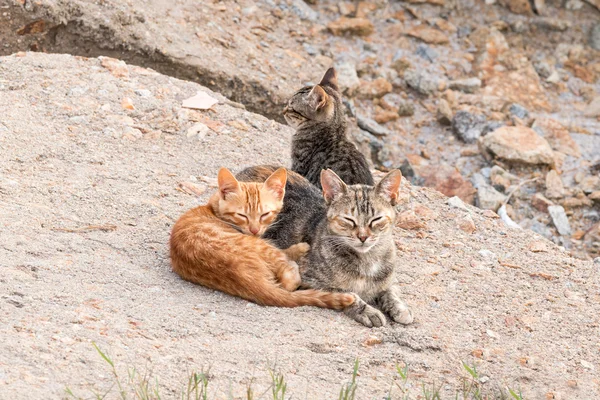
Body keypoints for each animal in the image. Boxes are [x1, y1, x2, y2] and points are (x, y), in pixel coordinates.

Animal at [169, 166, 354, 310]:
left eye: (265, 214)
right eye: (242, 215)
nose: (255, 229)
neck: (212, 208)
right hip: (265, 248)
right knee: (289, 278)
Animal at [237, 166, 414, 328]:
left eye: (376, 219)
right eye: (348, 220)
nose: (363, 237)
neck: (367, 260)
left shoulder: (389, 279)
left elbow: (391, 291)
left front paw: (400, 308)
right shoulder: (308, 280)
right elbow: (347, 294)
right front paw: (367, 311)